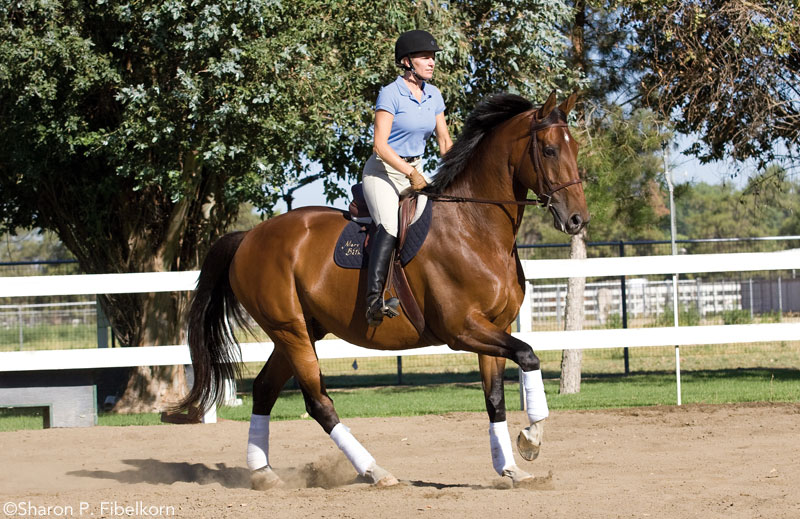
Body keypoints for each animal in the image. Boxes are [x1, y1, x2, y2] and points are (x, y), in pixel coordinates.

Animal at [184, 91, 592, 490]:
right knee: (318, 402)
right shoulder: (462, 329)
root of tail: (248, 236)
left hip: (300, 331)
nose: (578, 220)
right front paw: (532, 439)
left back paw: (264, 473)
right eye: (550, 150)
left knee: (266, 389)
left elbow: (495, 398)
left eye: (575, 148)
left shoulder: (497, 326)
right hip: (291, 331)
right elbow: (528, 355)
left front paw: (510, 468)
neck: (475, 226)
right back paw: (374, 471)